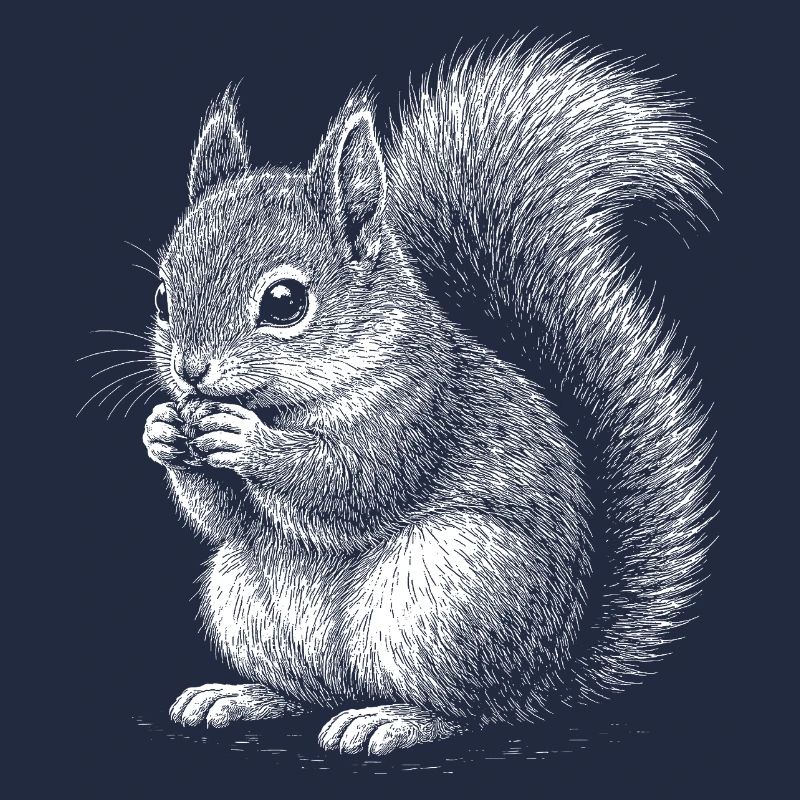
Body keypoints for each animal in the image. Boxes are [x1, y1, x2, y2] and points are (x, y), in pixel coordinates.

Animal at [141, 37, 714, 756]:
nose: (190, 372)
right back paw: (243, 696)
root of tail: (546, 683)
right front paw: (164, 431)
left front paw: (247, 443)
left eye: (285, 302)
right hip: (245, 601)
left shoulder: (418, 409)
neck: (290, 401)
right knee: (311, 692)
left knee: (470, 710)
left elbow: (352, 485)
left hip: (446, 595)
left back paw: (392, 719)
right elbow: (226, 520)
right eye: (163, 297)